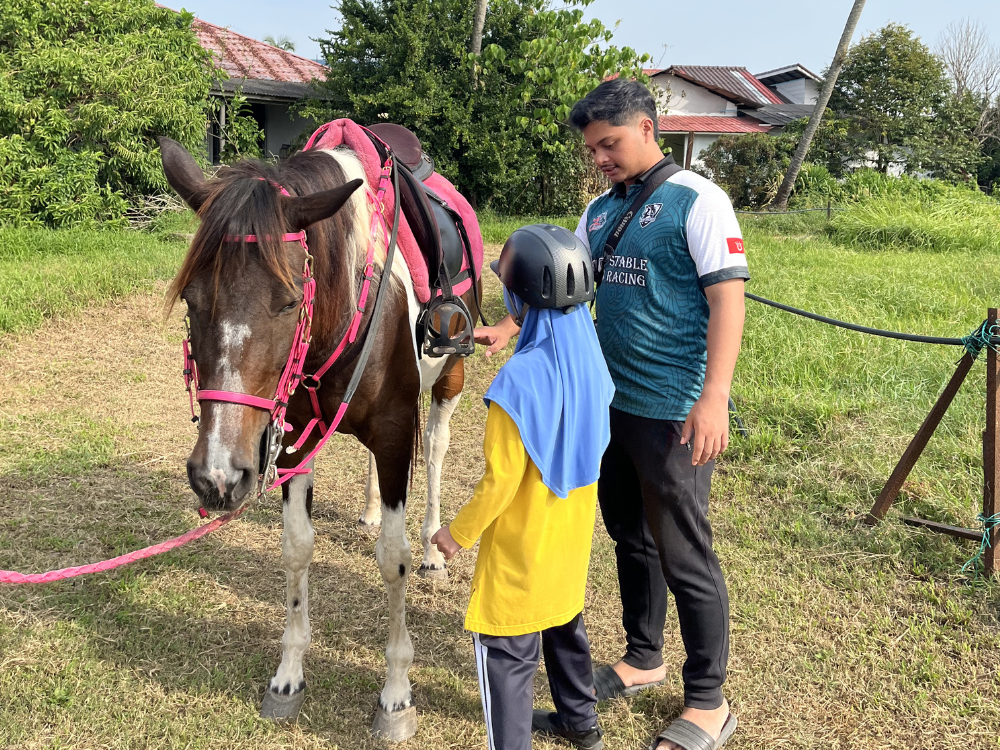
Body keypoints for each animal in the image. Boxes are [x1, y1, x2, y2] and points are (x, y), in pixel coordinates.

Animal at [158, 135, 481, 741]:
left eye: (288, 301)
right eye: (190, 299)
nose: (216, 477)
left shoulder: (396, 435)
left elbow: (393, 560)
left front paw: (396, 694)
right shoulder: (295, 440)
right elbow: (296, 547)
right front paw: (288, 676)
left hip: (450, 380)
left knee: (436, 453)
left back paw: (433, 548)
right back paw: (370, 511)